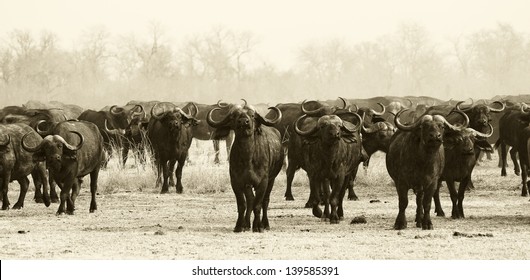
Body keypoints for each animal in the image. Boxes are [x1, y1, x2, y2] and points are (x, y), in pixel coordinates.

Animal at [205, 101, 282, 233]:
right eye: (234, 116)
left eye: (252, 116)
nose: (243, 122)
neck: (248, 158)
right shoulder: (237, 181)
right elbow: (242, 204)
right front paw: (239, 226)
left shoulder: (263, 182)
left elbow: (258, 204)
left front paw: (258, 226)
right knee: (250, 200)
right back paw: (246, 224)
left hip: (272, 179)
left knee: (265, 201)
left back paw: (265, 224)